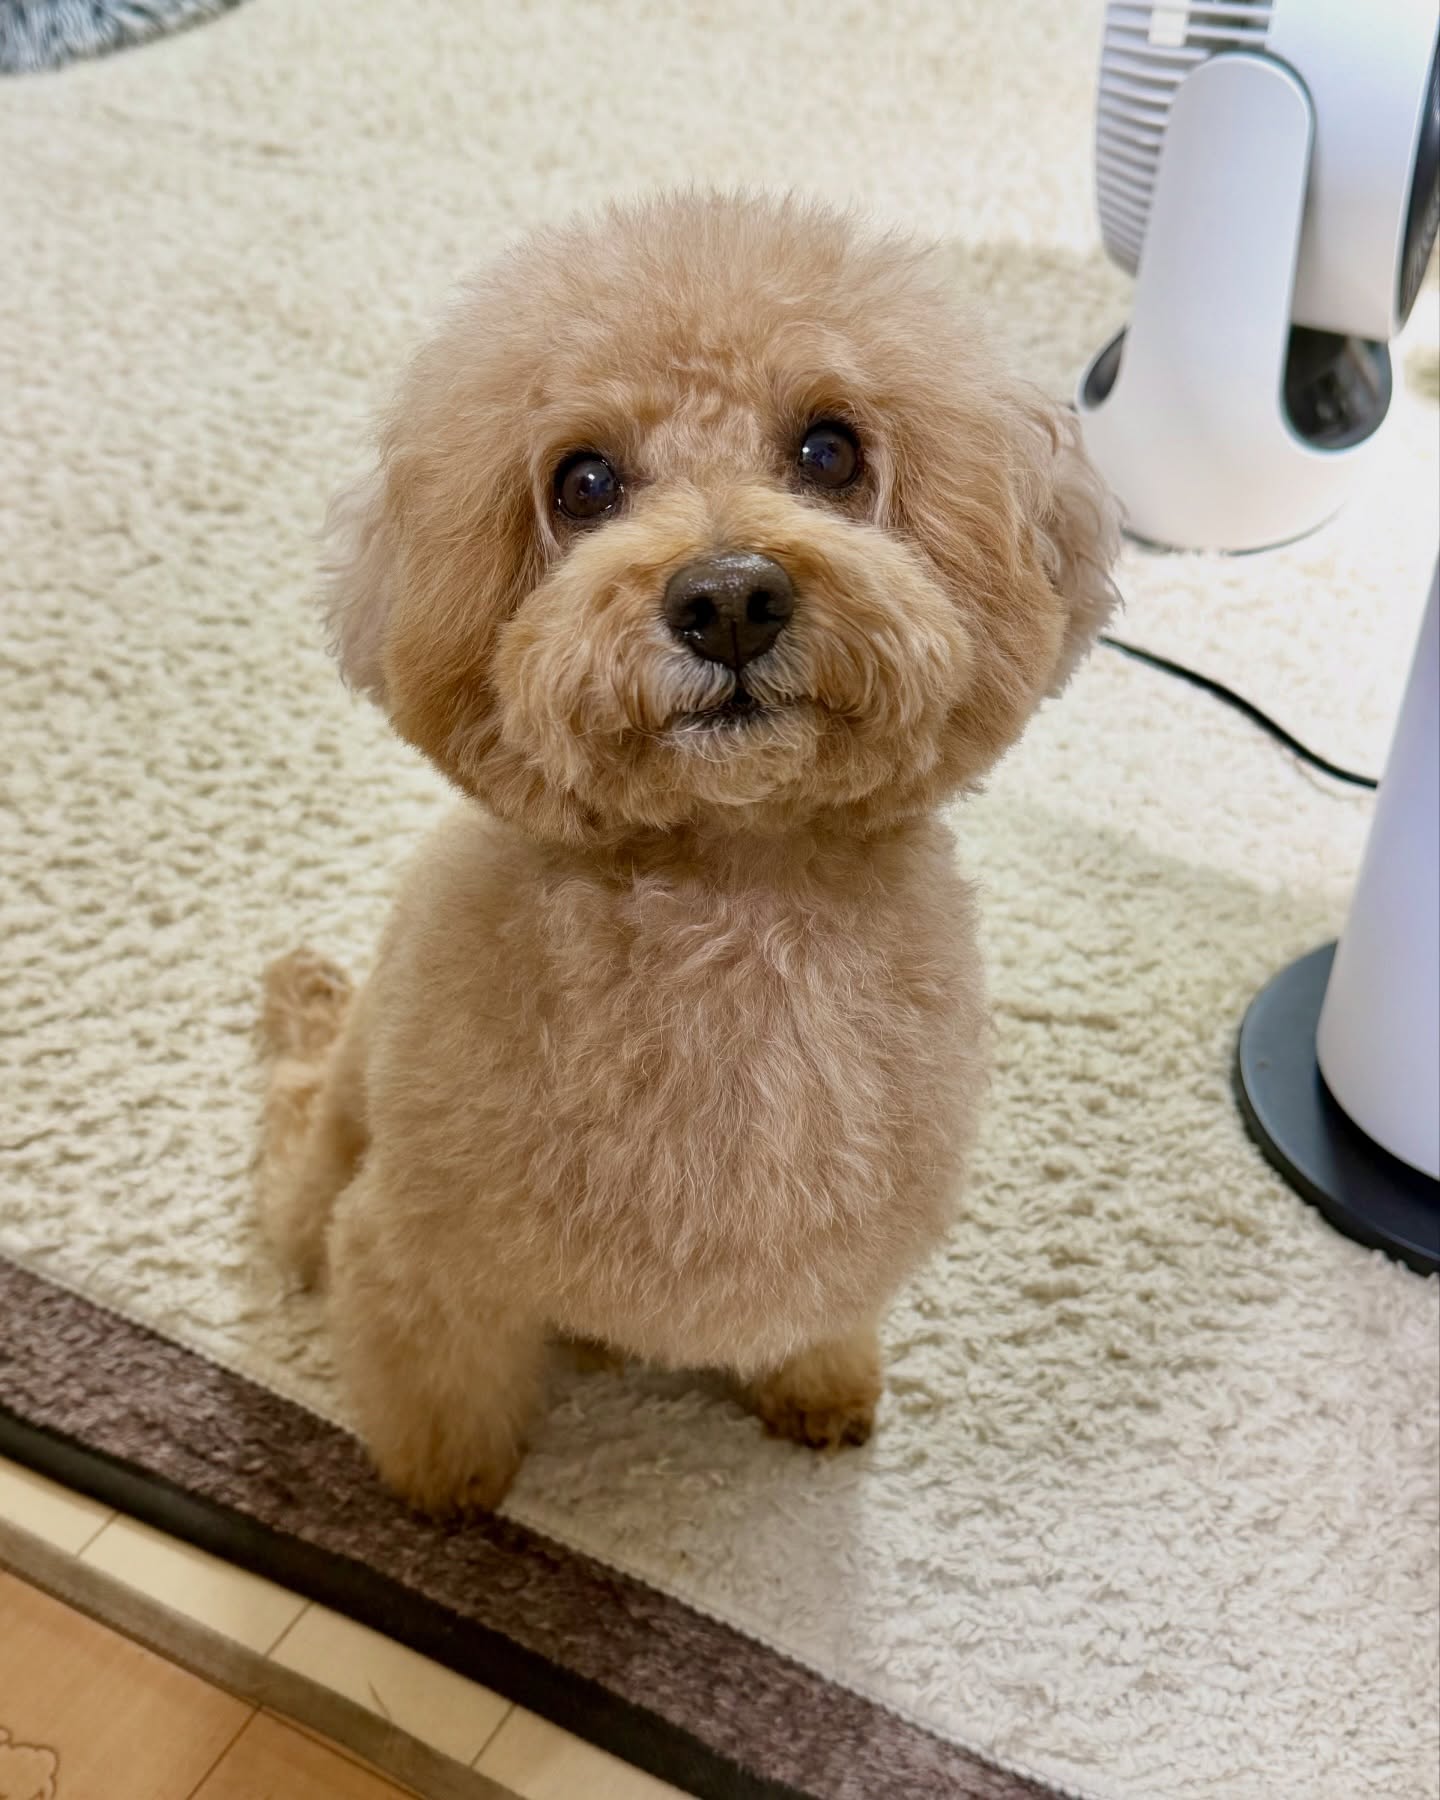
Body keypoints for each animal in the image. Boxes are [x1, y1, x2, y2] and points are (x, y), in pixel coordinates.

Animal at [256, 191, 1119, 1515]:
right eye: (583, 481)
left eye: (830, 452)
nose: (729, 600)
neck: (730, 897)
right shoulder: (425, 1251)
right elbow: (441, 1387)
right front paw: (448, 1498)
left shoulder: (847, 1239)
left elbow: (819, 1319)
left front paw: (821, 1390)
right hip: (339, 1136)